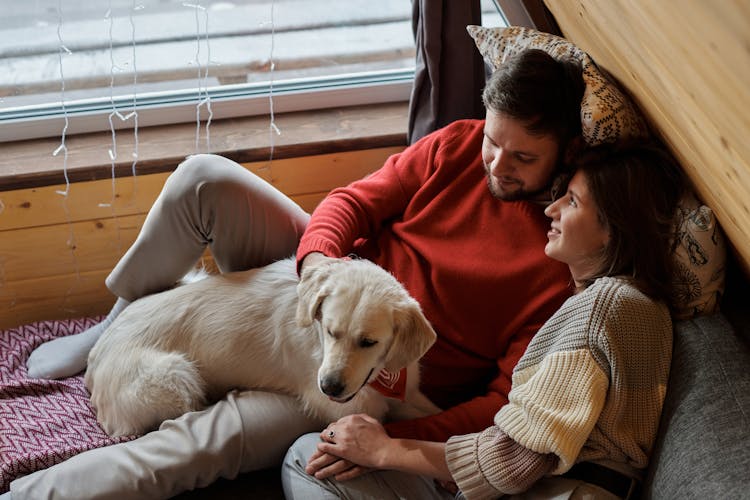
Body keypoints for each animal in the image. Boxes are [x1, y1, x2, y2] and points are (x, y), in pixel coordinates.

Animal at [86, 256, 440, 436]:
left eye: (368, 342)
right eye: (330, 331)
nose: (328, 386)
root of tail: (93, 362)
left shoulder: (408, 390)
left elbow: (433, 409)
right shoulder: (352, 408)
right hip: (176, 375)